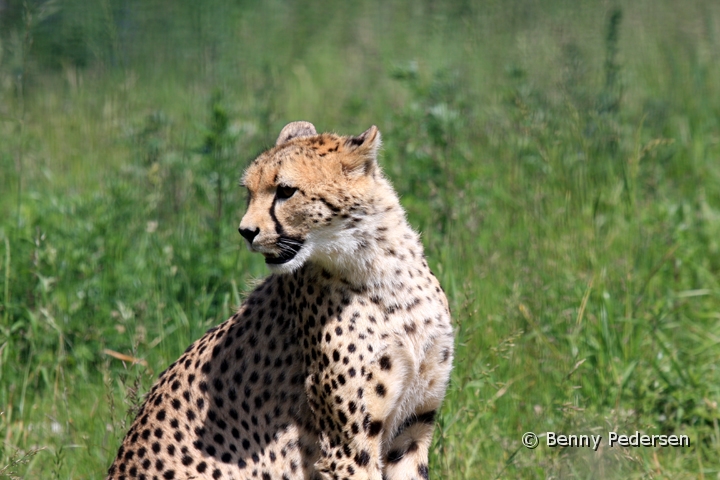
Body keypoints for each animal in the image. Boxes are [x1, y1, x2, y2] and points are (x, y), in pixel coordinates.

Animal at [105, 122, 456, 478]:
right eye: (249, 191)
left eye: (286, 191)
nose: (246, 231)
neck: (381, 267)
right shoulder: (346, 445)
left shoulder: (412, 427)